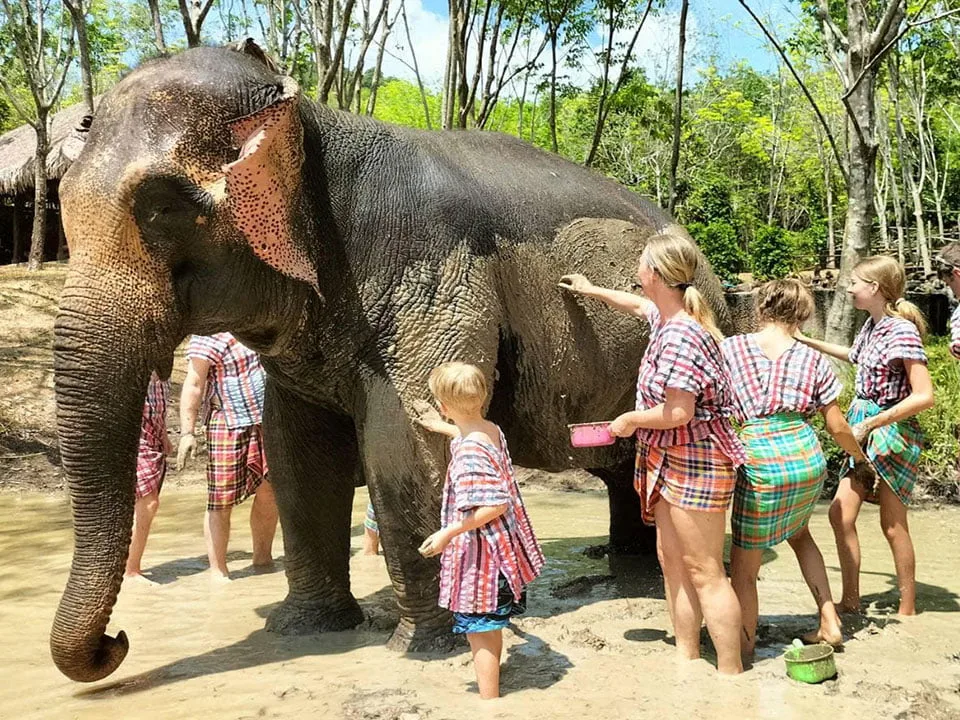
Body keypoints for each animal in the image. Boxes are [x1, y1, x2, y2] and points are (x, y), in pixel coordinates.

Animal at [50, 40, 735, 683]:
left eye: (161, 208)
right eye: (61, 197)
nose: (117, 643)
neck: (315, 125)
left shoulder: (432, 277)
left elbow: (403, 447)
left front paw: (422, 649)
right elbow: (298, 456)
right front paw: (304, 629)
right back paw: (623, 565)